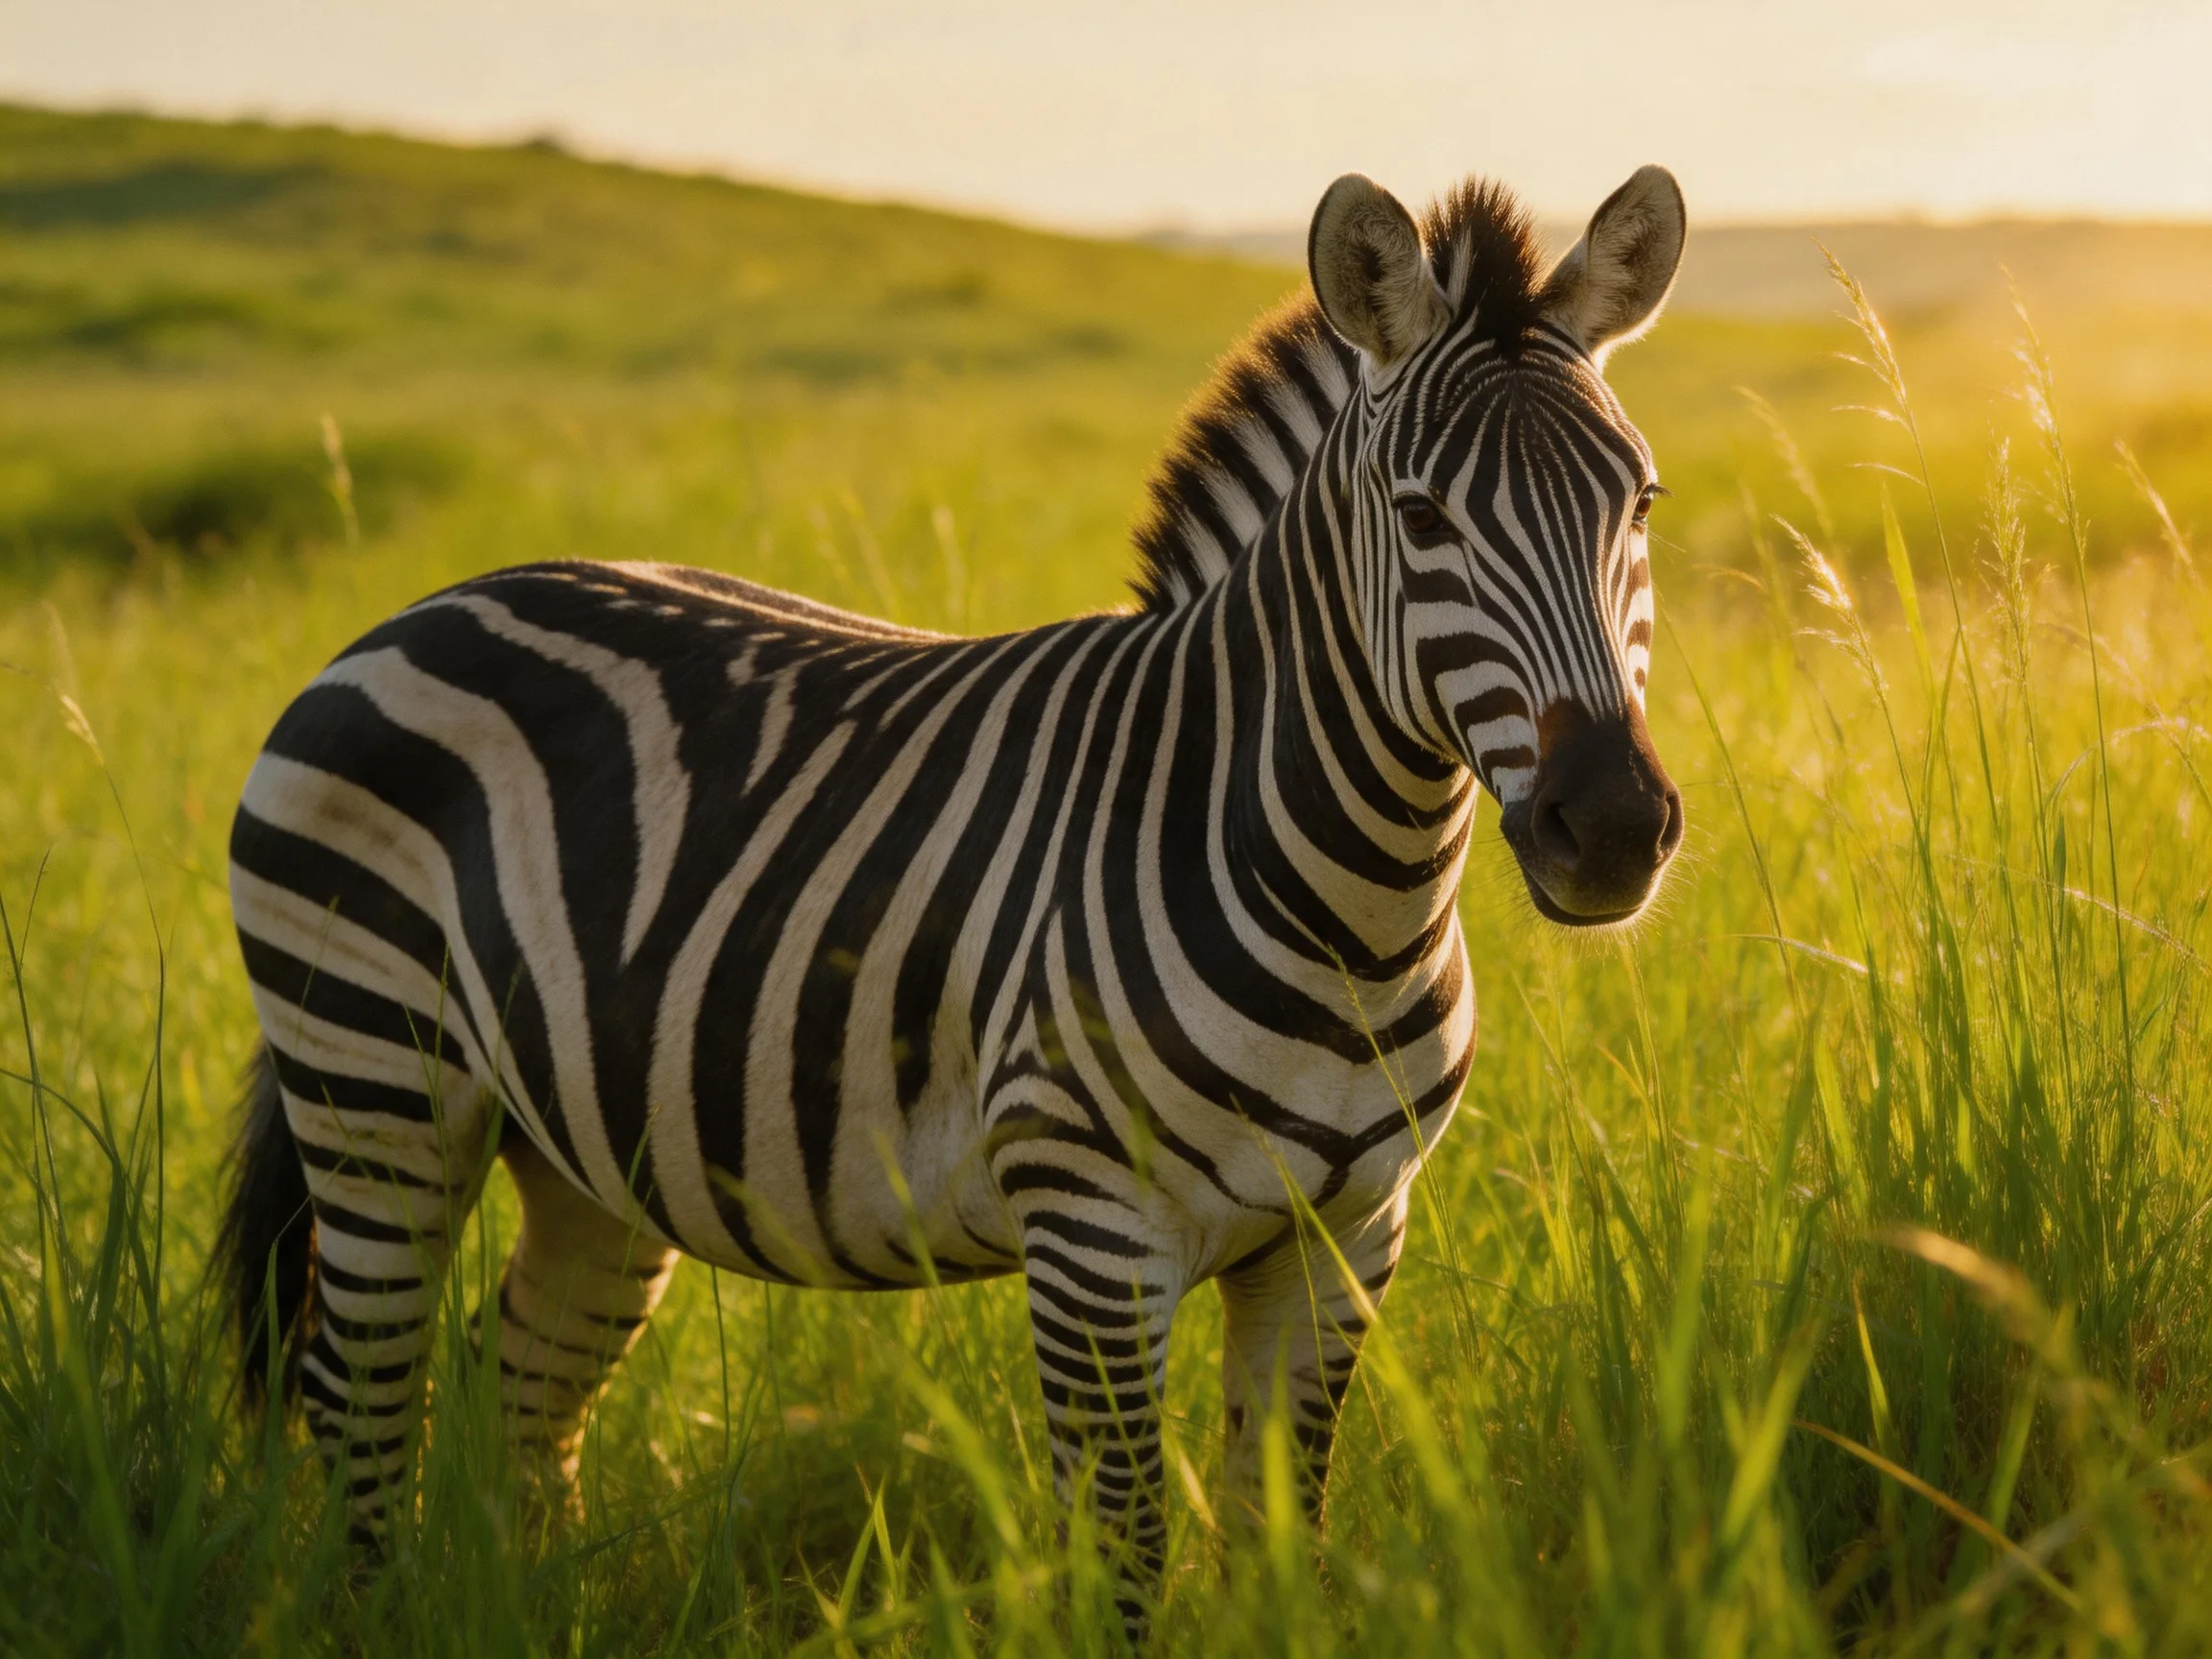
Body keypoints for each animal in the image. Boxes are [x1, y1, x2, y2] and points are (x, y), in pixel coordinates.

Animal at [219, 162, 1686, 1621]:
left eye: (1642, 506)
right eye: (1423, 519)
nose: (1613, 827)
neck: (1347, 916)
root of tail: (421, 610)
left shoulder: (1345, 1239)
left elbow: (1282, 1545)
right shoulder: (1092, 1236)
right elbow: (1127, 1556)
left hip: (584, 1145)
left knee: (518, 1380)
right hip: (374, 1083)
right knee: (359, 1397)